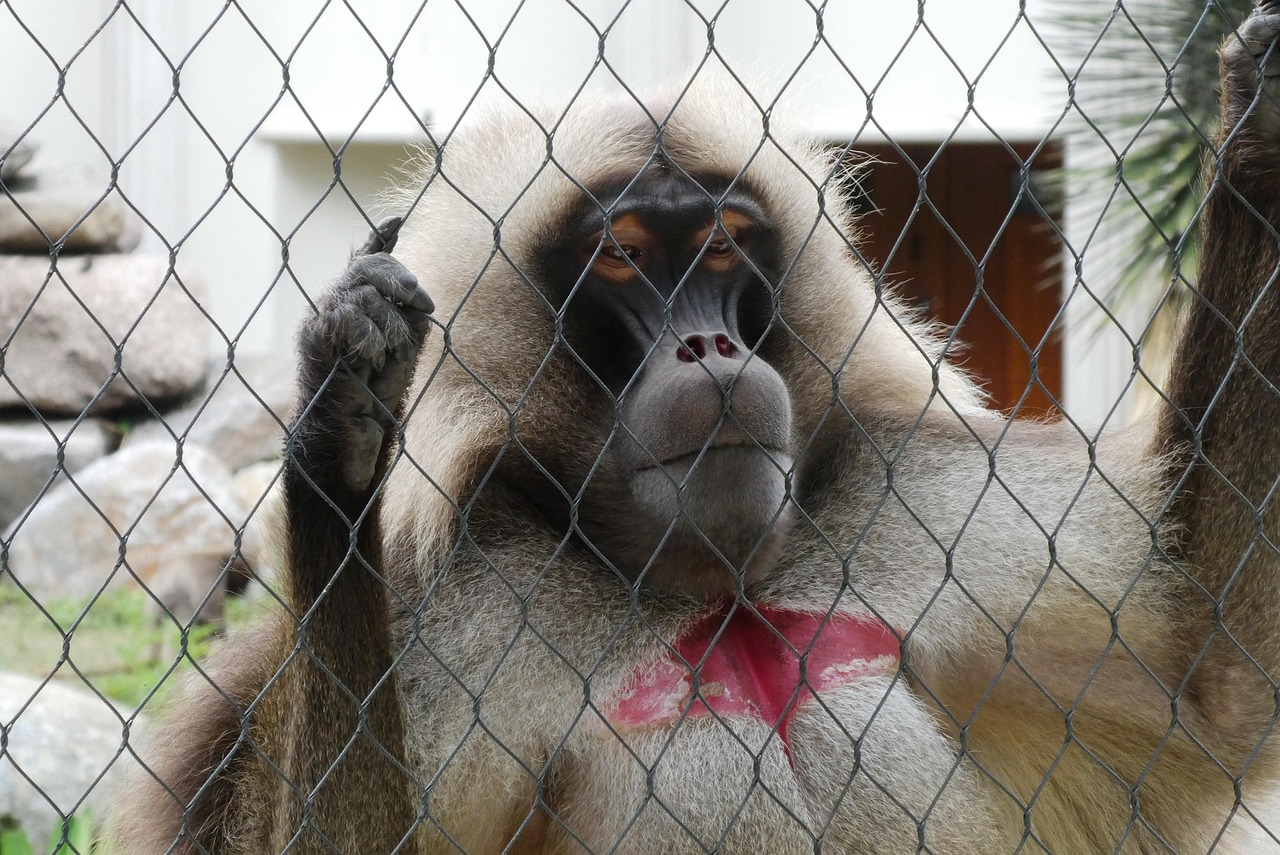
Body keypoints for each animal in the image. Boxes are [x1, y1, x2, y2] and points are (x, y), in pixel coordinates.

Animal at [108, 5, 1280, 853]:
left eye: (722, 247)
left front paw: (1255, 133)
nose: (710, 348)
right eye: (624, 256)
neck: (714, 592)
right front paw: (337, 444)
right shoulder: (459, 603)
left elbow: (1219, 685)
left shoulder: (913, 496)